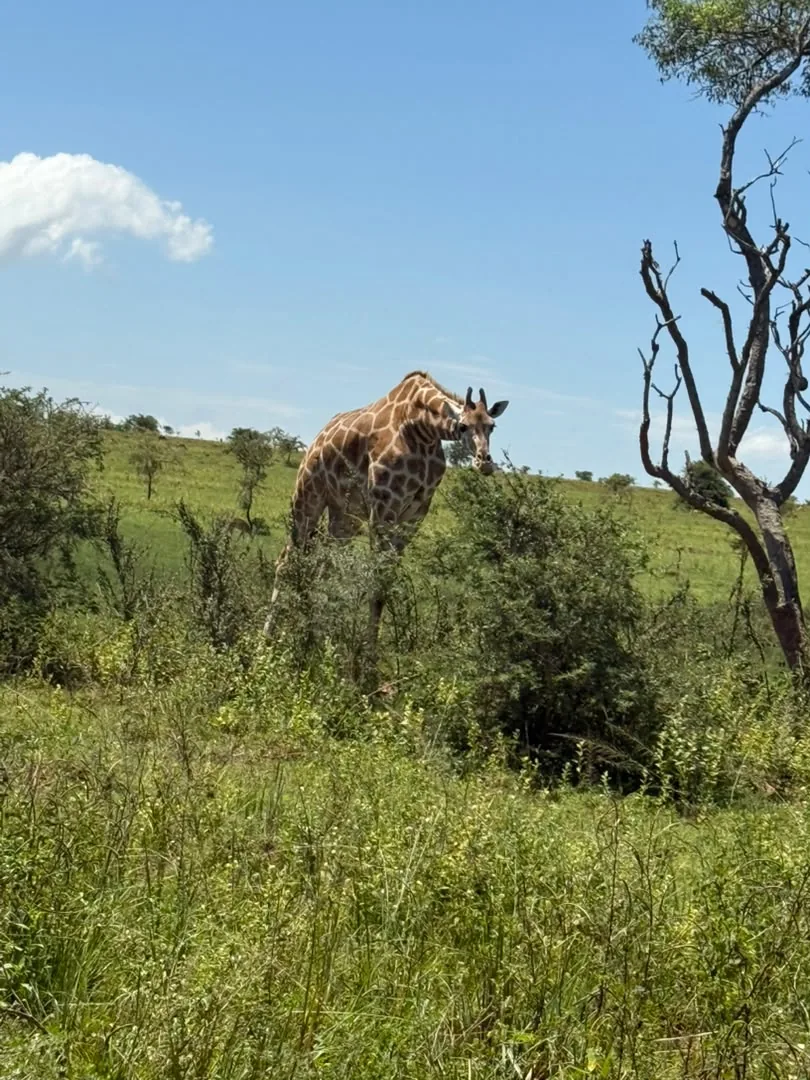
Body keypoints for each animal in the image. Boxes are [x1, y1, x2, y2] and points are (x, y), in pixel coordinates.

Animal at [263, 370, 509, 656]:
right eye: (463, 427)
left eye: (492, 426)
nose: (484, 462)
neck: (422, 429)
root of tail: (317, 439)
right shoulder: (383, 507)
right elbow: (375, 580)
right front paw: (367, 657)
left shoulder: (414, 515)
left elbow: (385, 582)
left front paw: (365, 651)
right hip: (308, 495)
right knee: (286, 560)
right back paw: (267, 638)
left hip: (344, 516)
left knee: (325, 566)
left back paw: (316, 638)